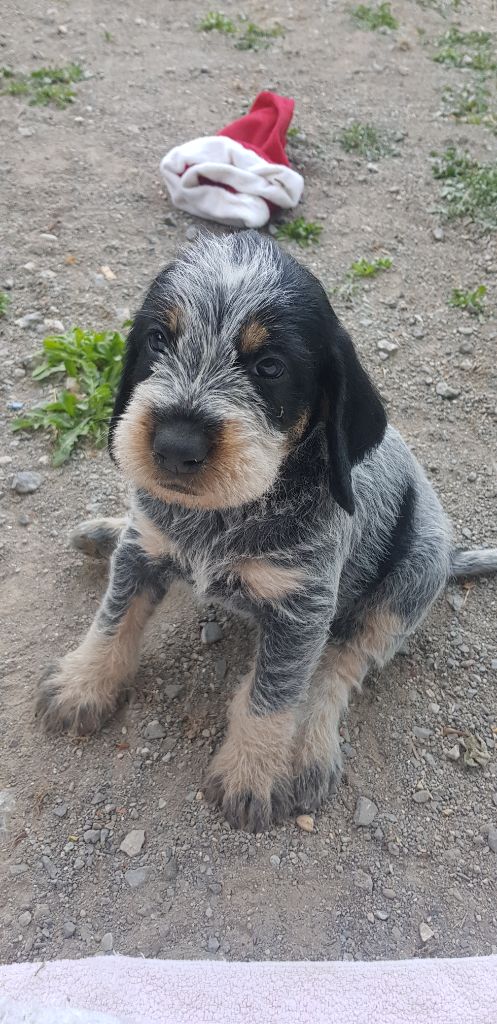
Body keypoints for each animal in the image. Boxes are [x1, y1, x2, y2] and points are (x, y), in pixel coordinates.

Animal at [37, 232, 495, 831]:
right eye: (158, 340)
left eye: (270, 366)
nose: (175, 446)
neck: (225, 514)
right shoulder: (143, 552)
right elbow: (113, 620)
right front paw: (84, 683)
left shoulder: (303, 608)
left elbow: (273, 696)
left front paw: (252, 771)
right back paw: (105, 531)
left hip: (408, 582)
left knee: (338, 667)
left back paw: (308, 746)